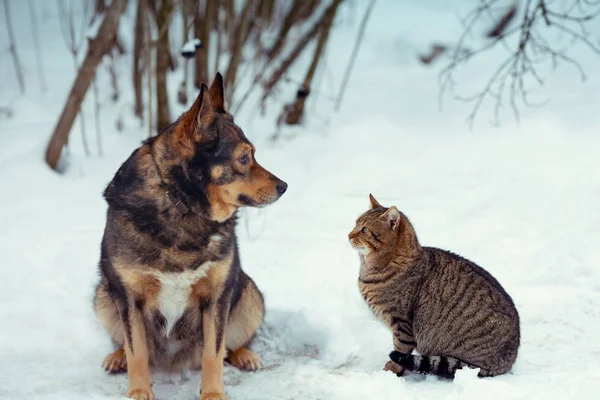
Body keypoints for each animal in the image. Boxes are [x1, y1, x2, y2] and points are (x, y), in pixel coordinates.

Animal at [94, 72, 288, 400]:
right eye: (244, 158)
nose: (284, 186)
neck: (180, 203)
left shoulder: (217, 297)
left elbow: (214, 353)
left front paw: (213, 394)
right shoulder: (128, 297)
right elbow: (137, 351)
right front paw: (139, 390)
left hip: (248, 293)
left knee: (231, 346)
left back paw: (246, 355)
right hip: (103, 294)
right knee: (124, 342)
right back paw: (116, 357)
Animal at [346, 194, 520, 378]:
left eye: (364, 229)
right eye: (355, 224)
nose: (348, 235)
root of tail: (510, 361)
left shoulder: (402, 323)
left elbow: (400, 349)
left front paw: (392, 370)